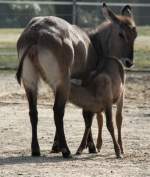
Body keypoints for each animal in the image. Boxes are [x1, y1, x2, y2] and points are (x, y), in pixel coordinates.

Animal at [16, 2, 137, 158]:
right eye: (121, 34)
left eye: (134, 35)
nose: (129, 62)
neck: (94, 43)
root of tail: (36, 34)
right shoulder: (85, 81)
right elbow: (88, 114)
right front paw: (90, 146)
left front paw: (55, 146)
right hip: (63, 81)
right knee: (58, 111)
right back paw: (66, 150)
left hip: (30, 81)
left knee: (33, 112)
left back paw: (36, 150)